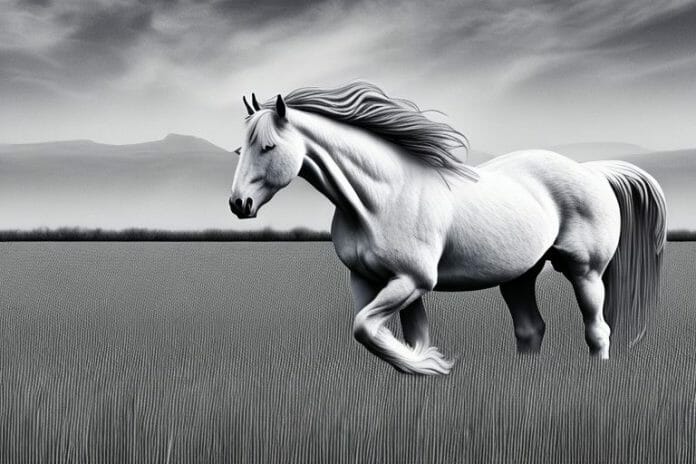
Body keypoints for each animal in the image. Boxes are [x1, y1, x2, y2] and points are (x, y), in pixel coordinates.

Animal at [228, 82, 666, 375]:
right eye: (239, 149)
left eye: (268, 146)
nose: (238, 204)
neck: (380, 198)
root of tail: (592, 171)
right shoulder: (370, 280)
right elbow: (394, 334)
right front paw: (422, 368)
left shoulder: (412, 280)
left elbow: (365, 329)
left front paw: (432, 365)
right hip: (520, 275)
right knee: (531, 329)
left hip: (585, 271)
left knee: (598, 331)